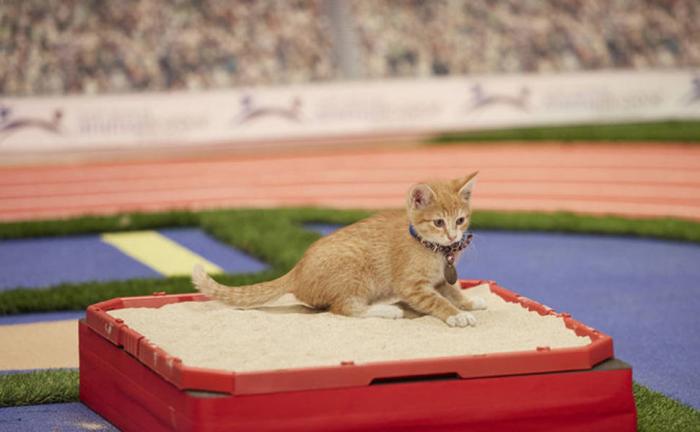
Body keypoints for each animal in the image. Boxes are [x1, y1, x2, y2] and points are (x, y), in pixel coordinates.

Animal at [193, 172, 486, 328]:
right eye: (438, 222)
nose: (453, 235)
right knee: (343, 308)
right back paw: (387, 311)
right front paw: (457, 315)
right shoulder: (412, 286)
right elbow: (438, 301)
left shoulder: (440, 280)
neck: (435, 250)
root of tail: (296, 270)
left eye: (461, 220)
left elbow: (453, 291)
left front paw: (469, 302)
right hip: (356, 270)